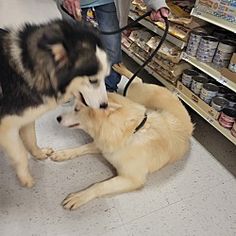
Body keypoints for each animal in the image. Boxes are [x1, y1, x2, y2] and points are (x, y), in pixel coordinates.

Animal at [50, 76, 193, 210]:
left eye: (77, 109)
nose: (58, 118)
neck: (130, 132)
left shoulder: (132, 179)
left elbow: (100, 185)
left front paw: (80, 196)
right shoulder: (104, 145)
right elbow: (81, 148)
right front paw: (63, 154)